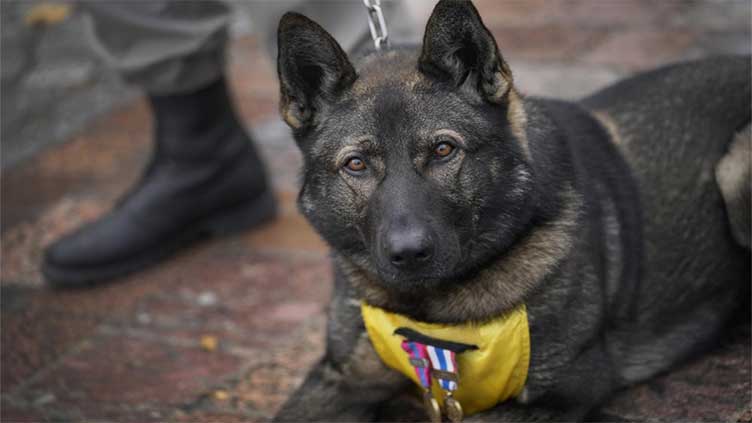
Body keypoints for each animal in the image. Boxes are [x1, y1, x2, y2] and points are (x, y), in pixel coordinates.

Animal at [268, 1, 748, 422]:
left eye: (443, 150)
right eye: (356, 164)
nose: (408, 254)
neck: (432, 314)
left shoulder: (561, 391)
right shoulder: (341, 378)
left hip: (734, 172)